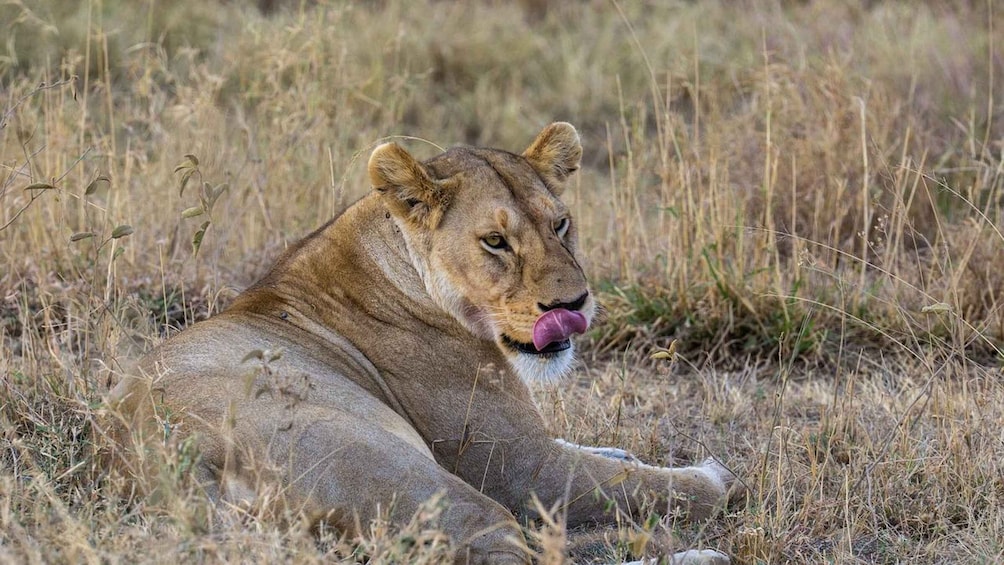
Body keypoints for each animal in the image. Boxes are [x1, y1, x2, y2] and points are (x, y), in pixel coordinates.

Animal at [109, 123, 737, 564]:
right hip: (406, 472)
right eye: (494, 241)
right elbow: (659, 487)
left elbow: (609, 458)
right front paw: (715, 475)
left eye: (560, 224)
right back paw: (701, 555)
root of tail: (176, 475)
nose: (573, 305)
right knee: (517, 552)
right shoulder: (521, 467)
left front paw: (624, 452)